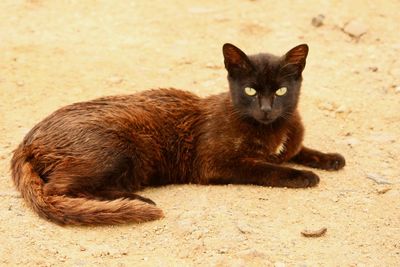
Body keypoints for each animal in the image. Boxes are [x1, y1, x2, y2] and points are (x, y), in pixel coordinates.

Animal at [10, 43, 346, 226]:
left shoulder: (290, 142)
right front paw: (303, 176)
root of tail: (27, 140)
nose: (265, 109)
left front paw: (330, 159)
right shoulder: (216, 163)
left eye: (281, 91)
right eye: (251, 90)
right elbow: (266, 168)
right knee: (58, 190)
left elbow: (300, 149)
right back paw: (137, 200)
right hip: (118, 150)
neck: (271, 129)